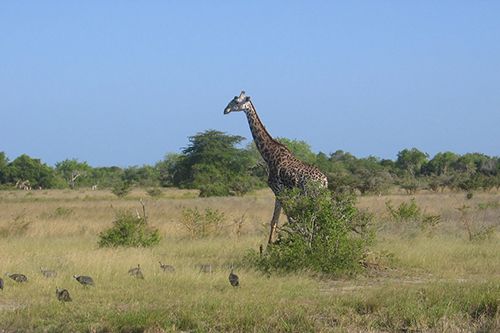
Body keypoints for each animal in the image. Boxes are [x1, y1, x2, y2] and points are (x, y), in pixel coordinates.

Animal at [224, 91, 328, 244]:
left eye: (236, 102)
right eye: (232, 99)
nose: (225, 110)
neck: (269, 155)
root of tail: (324, 181)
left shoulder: (278, 189)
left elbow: (287, 220)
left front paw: (271, 247)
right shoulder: (279, 192)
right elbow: (276, 221)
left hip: (311, 194)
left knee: (315, 217)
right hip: (320, 195)